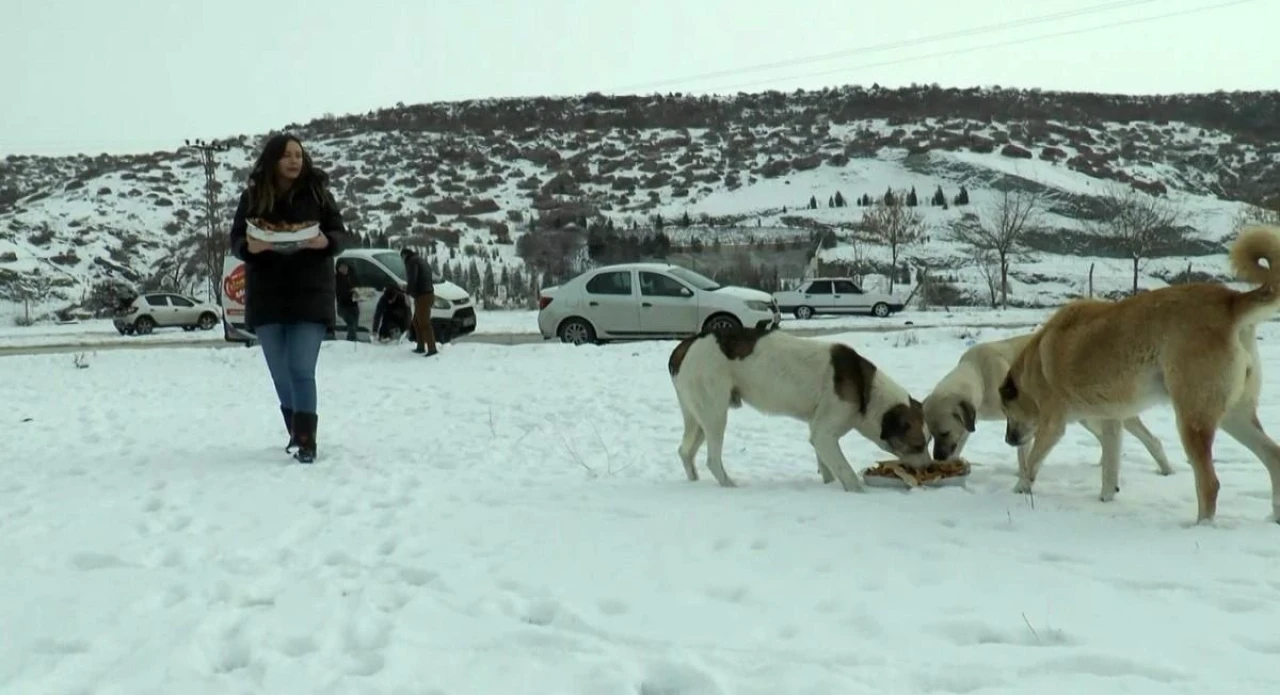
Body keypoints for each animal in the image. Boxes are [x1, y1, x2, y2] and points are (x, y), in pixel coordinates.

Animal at [670, 323, 931, 491]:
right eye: (918, 445)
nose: (930, 467)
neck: (866, 390)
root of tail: (687, 344)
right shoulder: (824, 435)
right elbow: (846, 472)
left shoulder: (819, 434)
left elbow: (828, 468)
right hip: (715, 414)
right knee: (712, 460)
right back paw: (730, 486)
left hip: (698, 417)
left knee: (685, 451)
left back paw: (693, 481)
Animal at [998, 225, 1280, 524]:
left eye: (1006, 411)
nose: (1007, 440)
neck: (1034, 364)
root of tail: (1231, 301)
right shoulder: (1111, 421)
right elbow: (1110, 470)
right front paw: (1105, 501)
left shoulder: (1053, 424)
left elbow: (1031, 462)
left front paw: (1019, 488)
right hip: (1234, 415)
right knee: (1274, 456)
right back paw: (1274, 516)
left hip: (1193, 420)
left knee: (1210, 483)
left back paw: (1202, 526)